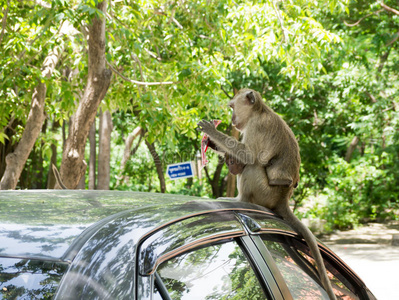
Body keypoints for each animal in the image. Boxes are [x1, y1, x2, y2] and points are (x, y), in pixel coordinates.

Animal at [197, 89, 338, 300]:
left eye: (232, 106)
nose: (232, 119)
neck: (259, 112)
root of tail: (282, 199)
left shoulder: (257, 127)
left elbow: (248, 156)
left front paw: (212, 132)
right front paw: (212, 141)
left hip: (265, 193)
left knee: (252, 165)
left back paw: (239, 199)